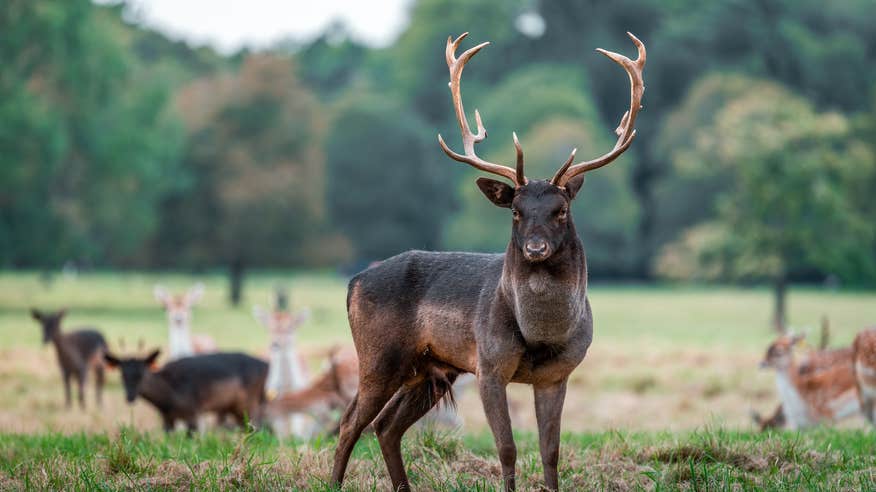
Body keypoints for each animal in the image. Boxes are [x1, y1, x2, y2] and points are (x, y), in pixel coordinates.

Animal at [104, 349, 268, 434]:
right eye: (122, 374)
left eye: (141, 374)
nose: (130, 397)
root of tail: (266, 365)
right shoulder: (167, 419)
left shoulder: (192, 411)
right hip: (235, 408)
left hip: (249, 402)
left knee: (256, 425)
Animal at [331, 32, 645, 491]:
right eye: (515, 210)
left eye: (561, 211)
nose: (535, 249)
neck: (540, 335)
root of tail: (353, 283)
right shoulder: (490, 365)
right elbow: (508, 449)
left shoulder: (558, 374)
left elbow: (551, 452)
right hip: (378, 355)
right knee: (350, 422)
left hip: (430, 368)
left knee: (386, 426)